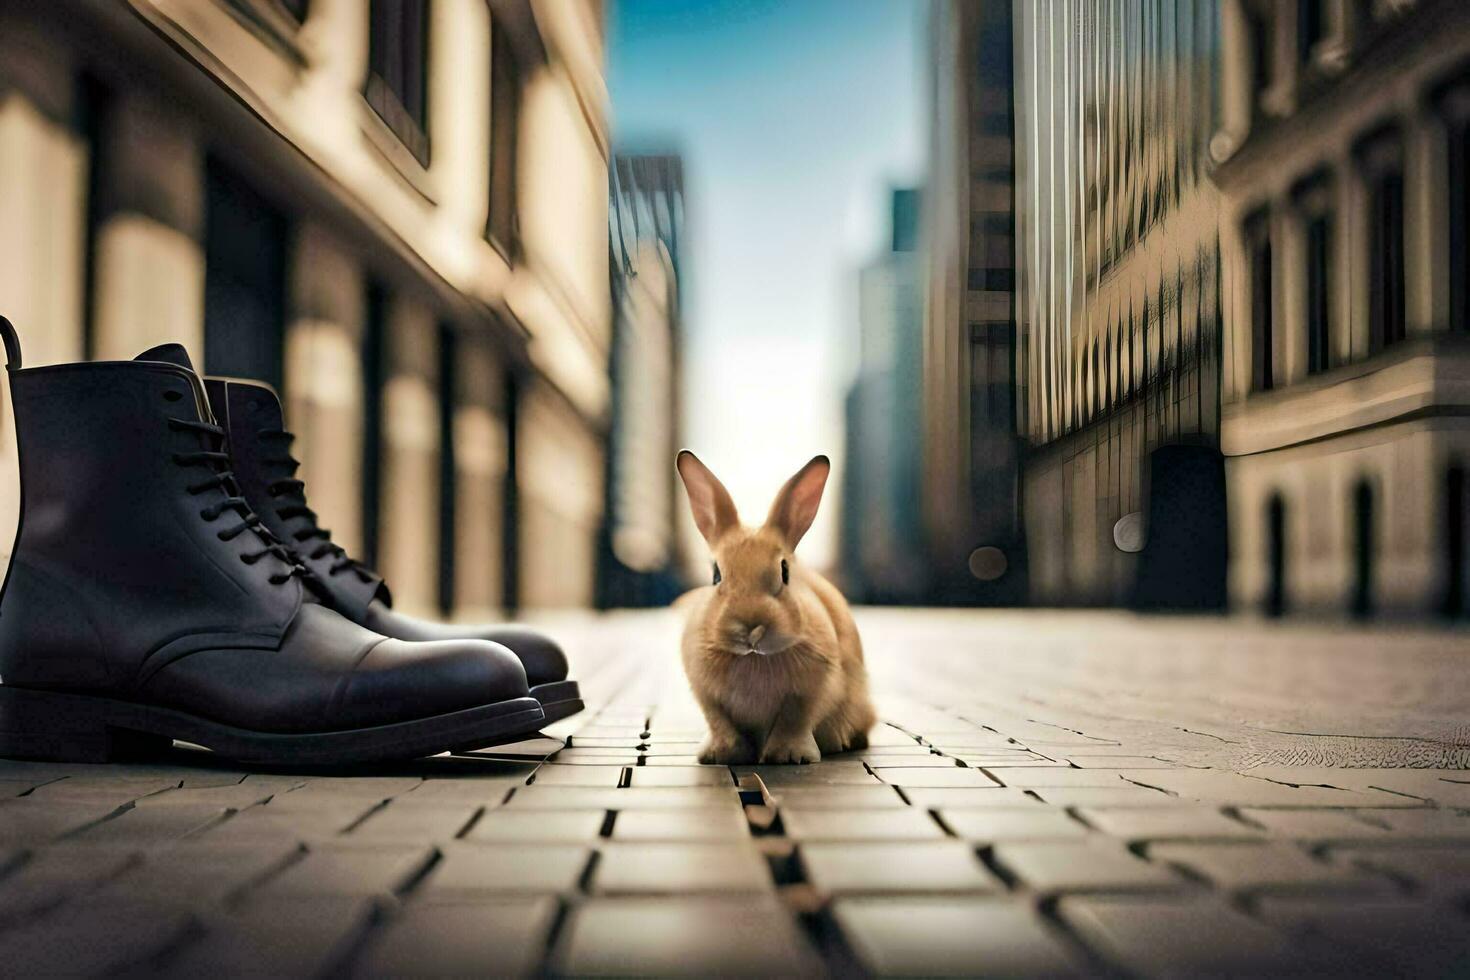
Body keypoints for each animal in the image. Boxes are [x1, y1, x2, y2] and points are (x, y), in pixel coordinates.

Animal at [673, 452, 870, 764]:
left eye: (784, 571)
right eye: (716, 575)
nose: (752, 630)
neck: (754, 659)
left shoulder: (809, 692)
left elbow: (793, 720)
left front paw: (788, 756)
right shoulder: (707, 696)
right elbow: (720, 723)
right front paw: (720, 754)